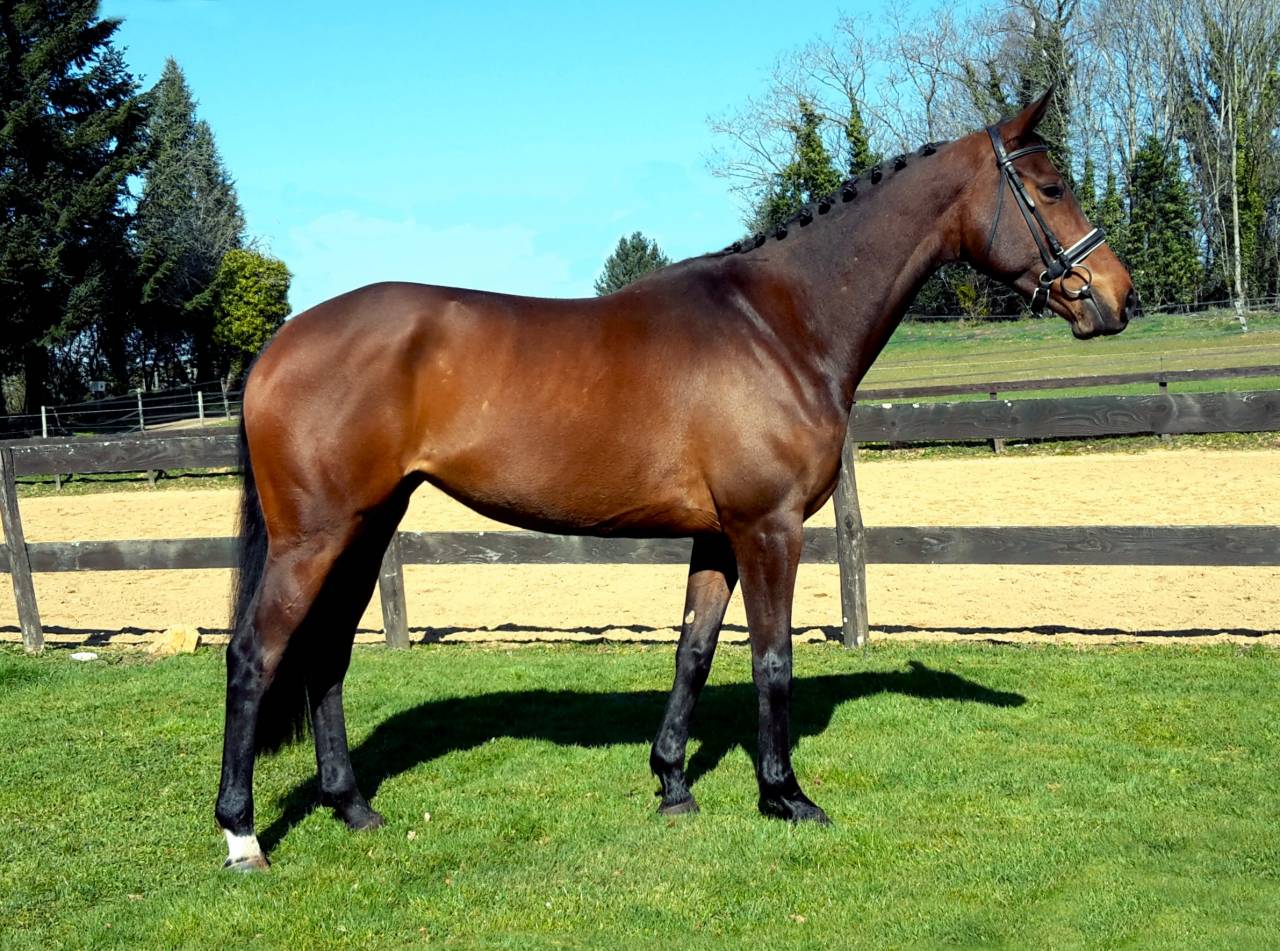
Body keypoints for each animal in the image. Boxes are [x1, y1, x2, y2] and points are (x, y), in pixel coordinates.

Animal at [215, 88, 1135, 870]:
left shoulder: (717, 535)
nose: (1115, 297)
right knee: (255, 655)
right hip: (314, 537)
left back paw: (353, 806)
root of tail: (279, 344)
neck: (781, 322)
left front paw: (673, 784)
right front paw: (786, 795)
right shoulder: (770, 528)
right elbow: (770, 659)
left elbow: (693, 651)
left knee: (327, 656)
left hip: (366, 528)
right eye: (1051, 187)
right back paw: (242, 834)